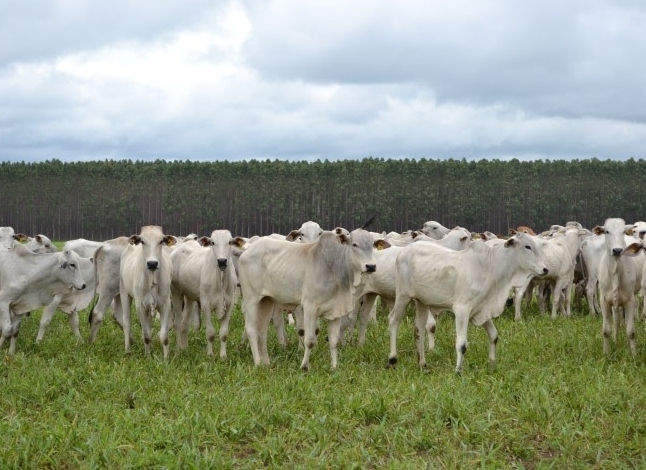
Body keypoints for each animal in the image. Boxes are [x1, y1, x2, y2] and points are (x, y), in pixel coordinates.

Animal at [120, 226, 177, 358]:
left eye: (161, 241)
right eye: (142, 241)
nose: (152, 263)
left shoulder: (165, 304)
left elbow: (164, 336)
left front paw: (166, 358)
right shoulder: (140, 305)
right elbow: (146, 335)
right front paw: (147, 356)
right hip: (124, 292)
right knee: (127, 322)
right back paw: (127, 350)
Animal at [242, 228, 384, 370]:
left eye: (372, 245)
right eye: (354, 244)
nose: (371, 266)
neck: (334, 267)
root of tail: (247, 250)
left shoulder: (337, 310)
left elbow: (334, 341)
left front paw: (334, 367)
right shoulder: (310, 308)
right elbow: (309, 340)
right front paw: (304, 367)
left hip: (266, 301)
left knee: (262, 331)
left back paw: (266, 364)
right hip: (251, 300)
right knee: (251, 330)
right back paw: (258, 363)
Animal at [390, 233, 548, 372]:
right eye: (527, 246)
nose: (545, 269)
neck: (491, 267)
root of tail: (403, 252)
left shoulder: (481, 310)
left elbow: (494, 336)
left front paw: (492, 364)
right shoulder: (461, 310)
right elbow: (462, 344)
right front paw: (458, 371)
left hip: (421, 301)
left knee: (419, 330)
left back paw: (422, 364)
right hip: (403, 296)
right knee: (393, 321)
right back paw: (392, 360)